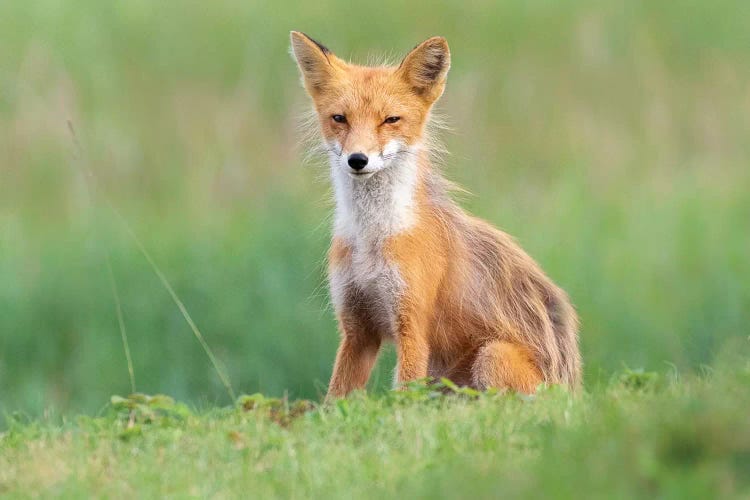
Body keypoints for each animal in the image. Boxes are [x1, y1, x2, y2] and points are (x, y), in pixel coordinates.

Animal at [290, 31, 584, 398]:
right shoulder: (357, 328)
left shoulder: (412, 326)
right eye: (339, 118)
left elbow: (403, 397)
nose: (357, 160)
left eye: (391, 120)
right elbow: (335, 397)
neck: (373, 238)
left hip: (492, 355)